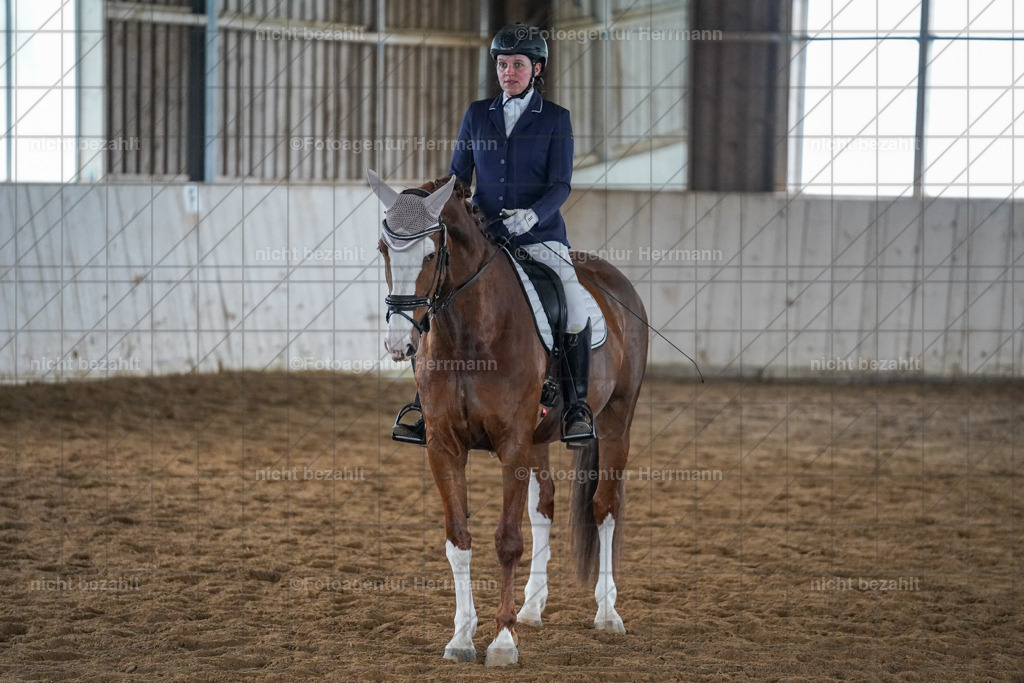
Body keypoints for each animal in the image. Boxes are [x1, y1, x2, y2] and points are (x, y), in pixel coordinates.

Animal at [368, 170, 648, 666]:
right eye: (384, 249)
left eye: (431, 253)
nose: (400, 343)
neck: (468, 332)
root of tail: (613, 279)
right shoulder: (444, 446)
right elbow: (459, 539)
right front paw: (462, 637)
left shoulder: (512, 445)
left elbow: (507, 542)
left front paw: (501, 641)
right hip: (540, 437)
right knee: (545, 507)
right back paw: (532, 607)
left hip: (616, 419)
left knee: (605, 508)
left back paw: (607, 614)